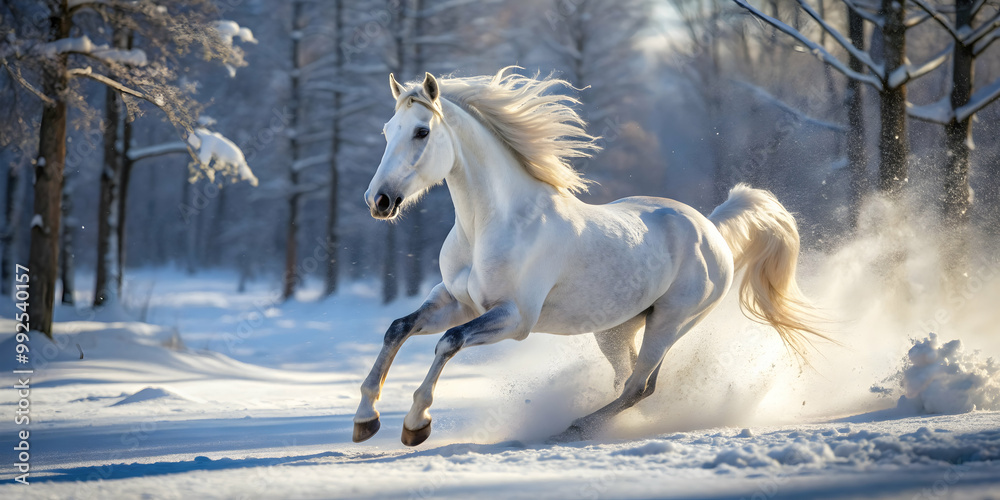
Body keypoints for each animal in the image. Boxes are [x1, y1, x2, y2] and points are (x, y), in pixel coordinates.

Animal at [353, 68, 827, 446]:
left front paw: (416, 424)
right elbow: (398, 329)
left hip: (671, 322)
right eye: (387, 130)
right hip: (616, 329)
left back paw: (575, 428)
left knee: (637, 386)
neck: (490, 224)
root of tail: (711, 229)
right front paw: (365, 420)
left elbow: (448, 342)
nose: (378, 200)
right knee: (630, 382)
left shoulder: (514, 318)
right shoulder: (456, 302)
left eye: (422, 131)